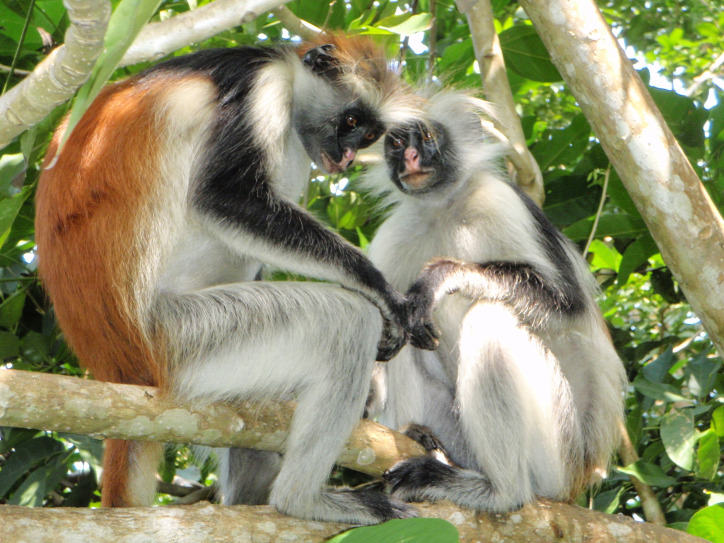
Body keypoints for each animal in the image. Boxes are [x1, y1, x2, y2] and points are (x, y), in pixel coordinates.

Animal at [34, 36, 422, 524]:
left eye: (368, 136)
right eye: (350, 122)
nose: (349, 156)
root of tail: (117, 365)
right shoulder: (261, 85)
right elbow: (224, 195)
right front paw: (379, 290)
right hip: (183, 336)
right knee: (346, 322)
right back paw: (301, 500)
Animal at [364, 92, 624, 516]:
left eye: (428, 137)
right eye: (397, 144)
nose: (411, 159)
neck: (444, 207)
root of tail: (580, 478)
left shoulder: (499, 199)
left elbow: (567, 305)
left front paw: (444, 276)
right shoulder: (395, 233)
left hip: (557, 451)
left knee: (490, 317)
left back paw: (501, 490)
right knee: (406, 333)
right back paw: (422, 437)